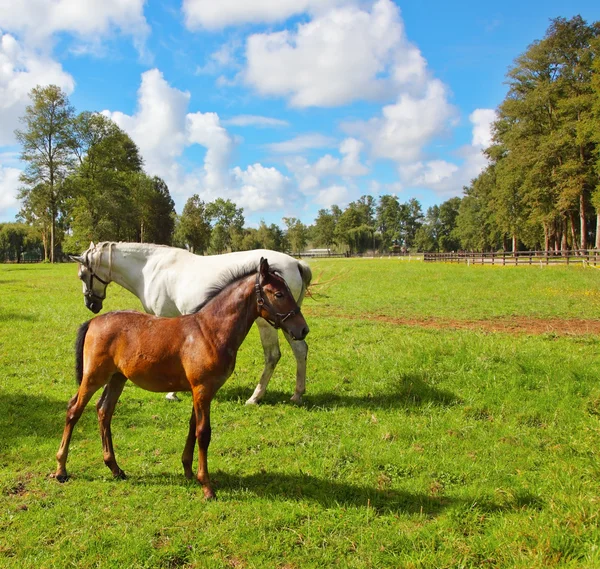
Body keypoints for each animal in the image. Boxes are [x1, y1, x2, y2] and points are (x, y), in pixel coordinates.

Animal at [54, 258, 310, 496]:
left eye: (290, 290)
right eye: (279, 293)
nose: (303, 329)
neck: (209, 331)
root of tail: (94, 321)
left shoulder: (200, 391)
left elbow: (192, 427)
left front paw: (188, 471)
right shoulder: (202, 389)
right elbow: (203, 433)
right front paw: (206, 486)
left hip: (117, 377)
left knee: (104, 411)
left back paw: (115, 468)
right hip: (94, 376)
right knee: (74, 409)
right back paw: (61, 470)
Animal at [72, 241, 312, 404]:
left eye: (82, 275)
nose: (91, 304)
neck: (151, 268)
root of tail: (296, 262)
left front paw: (171, 393)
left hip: (268, 323)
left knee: (272, 356)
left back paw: (255, 397)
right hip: (289, 324)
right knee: (300, 349)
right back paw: (297, 394)